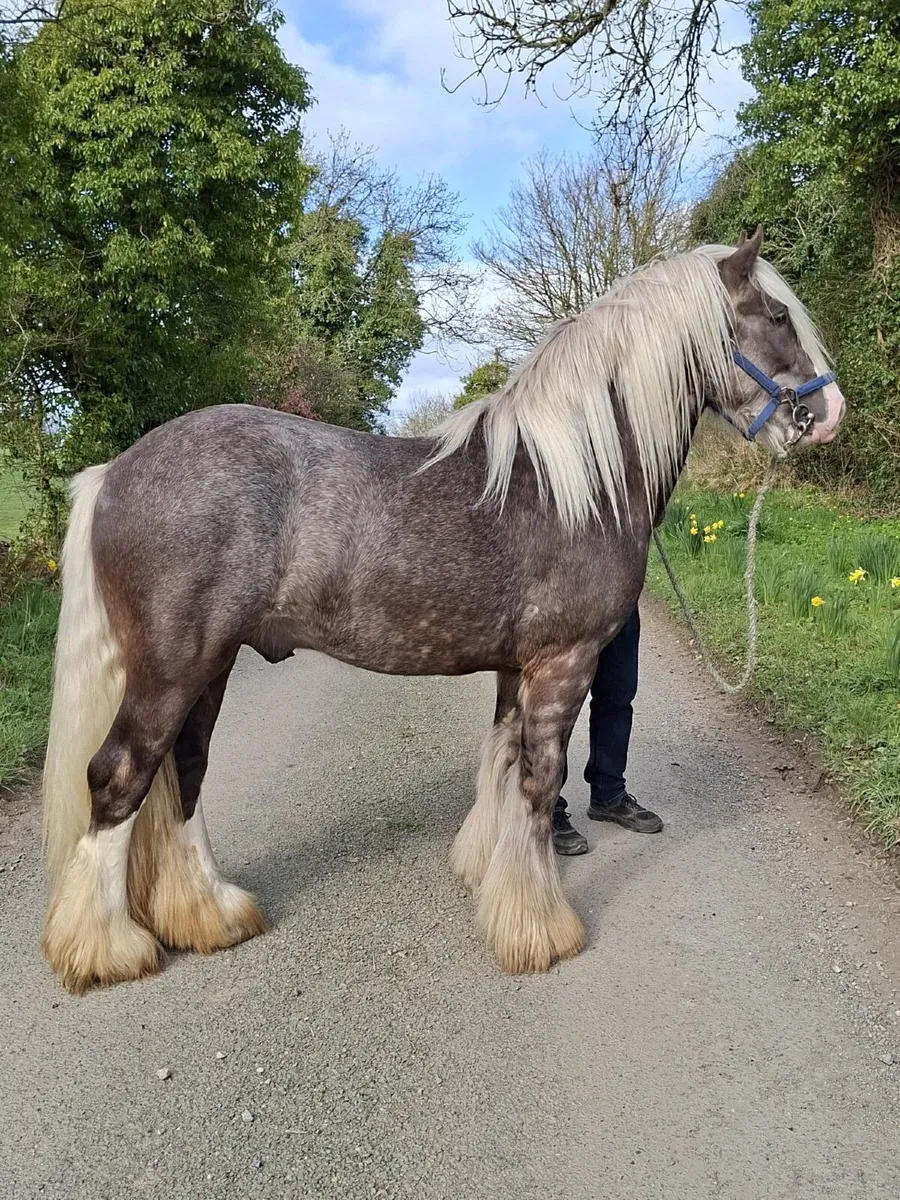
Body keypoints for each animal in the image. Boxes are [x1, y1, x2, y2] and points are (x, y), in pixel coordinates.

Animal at [41, 228, 846, 993]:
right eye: (777, 315)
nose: (830, 412)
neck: (568, 479)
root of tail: (114, 472)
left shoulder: (516, 668)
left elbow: (502, 762)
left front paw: (488, 876)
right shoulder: (565, 662)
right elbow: (539, 781)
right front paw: (539, 931)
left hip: (207, 670)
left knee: (185, 771)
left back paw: (209, 913)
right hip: (174, 670)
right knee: (118, 777)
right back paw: (105, 949)